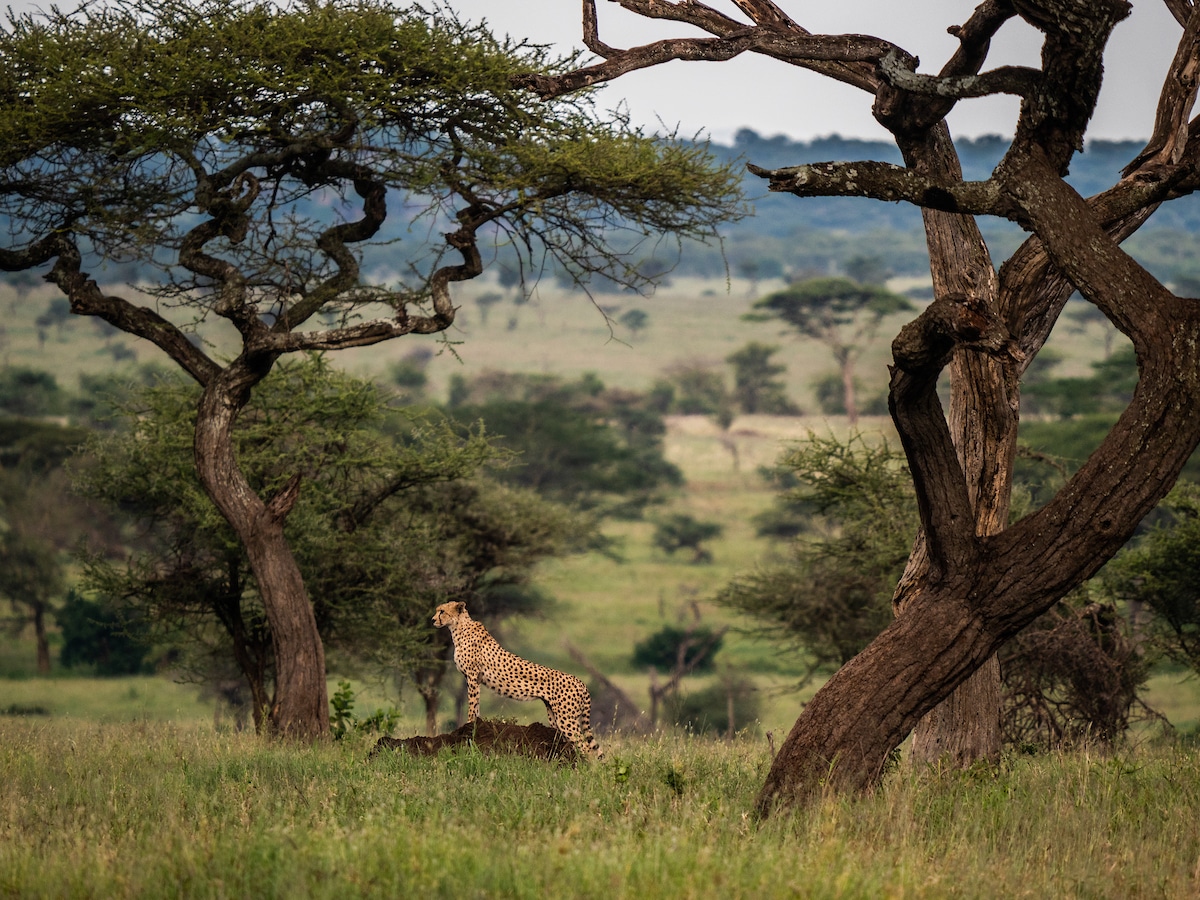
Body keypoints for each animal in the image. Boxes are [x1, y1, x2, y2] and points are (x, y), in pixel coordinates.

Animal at [429, 602, 600, 758]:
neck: (459, 627)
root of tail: (580, 682)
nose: (432, 620)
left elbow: (472, 704)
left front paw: (470, 724)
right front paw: (475, 723)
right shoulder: (474, 679)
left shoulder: (472, 676)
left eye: (442, 611)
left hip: (567, 719)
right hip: (555, 716)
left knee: (586, 748)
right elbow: (476, 705)